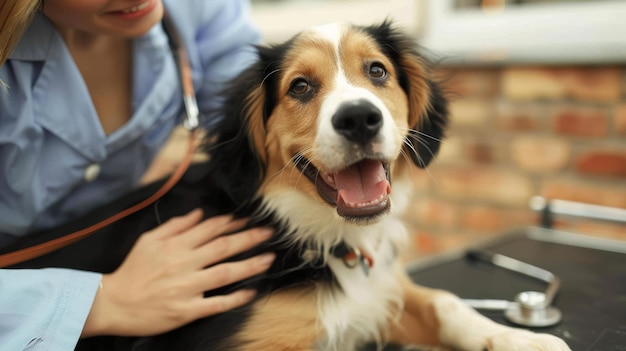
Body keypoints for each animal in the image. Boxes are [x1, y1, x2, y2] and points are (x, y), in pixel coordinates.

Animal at [6, 21, 572, 351]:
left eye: (377, 71)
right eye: (300, 86)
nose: (359, 119)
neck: (312, 232)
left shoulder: (378, 292)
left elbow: (445, 301)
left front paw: (518, 340)